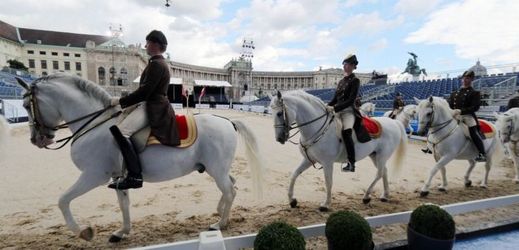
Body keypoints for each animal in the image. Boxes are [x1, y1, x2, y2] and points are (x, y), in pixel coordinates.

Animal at [14, 74, 266, 242]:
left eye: (26, 105)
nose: (37, 140)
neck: (95, 125)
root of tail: (228, 121)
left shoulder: (93, 175)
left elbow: (63, 200)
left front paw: (83, 232)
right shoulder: (118, 177)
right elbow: (123, 204)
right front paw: (122, 232)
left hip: (216, 169)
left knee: (230, 190)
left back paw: (219, 223)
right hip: (217, 169)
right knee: (231, 186)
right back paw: (220, 212)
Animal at [270, 90, 408, 209]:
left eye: (279, 113)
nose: (279, 138)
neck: (316, 129)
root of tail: (394, 122)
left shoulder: (327, 163)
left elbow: (328, 182)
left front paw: (326, 204)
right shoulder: (309, 160)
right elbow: (294, 174)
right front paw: (292, 200)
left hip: (382, 155)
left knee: (379, 173)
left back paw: (366, 196)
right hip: (374, 155)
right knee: (384, 171)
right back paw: (385, 196)